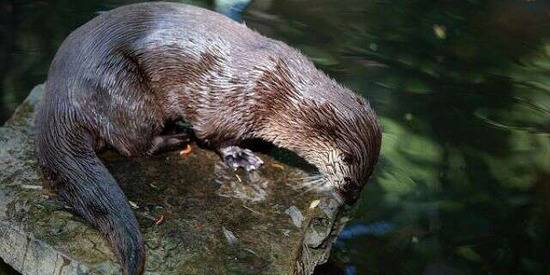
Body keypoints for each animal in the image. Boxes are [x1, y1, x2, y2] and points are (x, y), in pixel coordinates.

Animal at [35, 2, 384, 275]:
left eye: (365, 180)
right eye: (350, 178)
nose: (351, 199)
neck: (282, 97)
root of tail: (60, 94)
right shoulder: (231, 100)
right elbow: (213, 135)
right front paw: (240, 155)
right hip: (124, 89)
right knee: (133, 143)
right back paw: (175, 137)